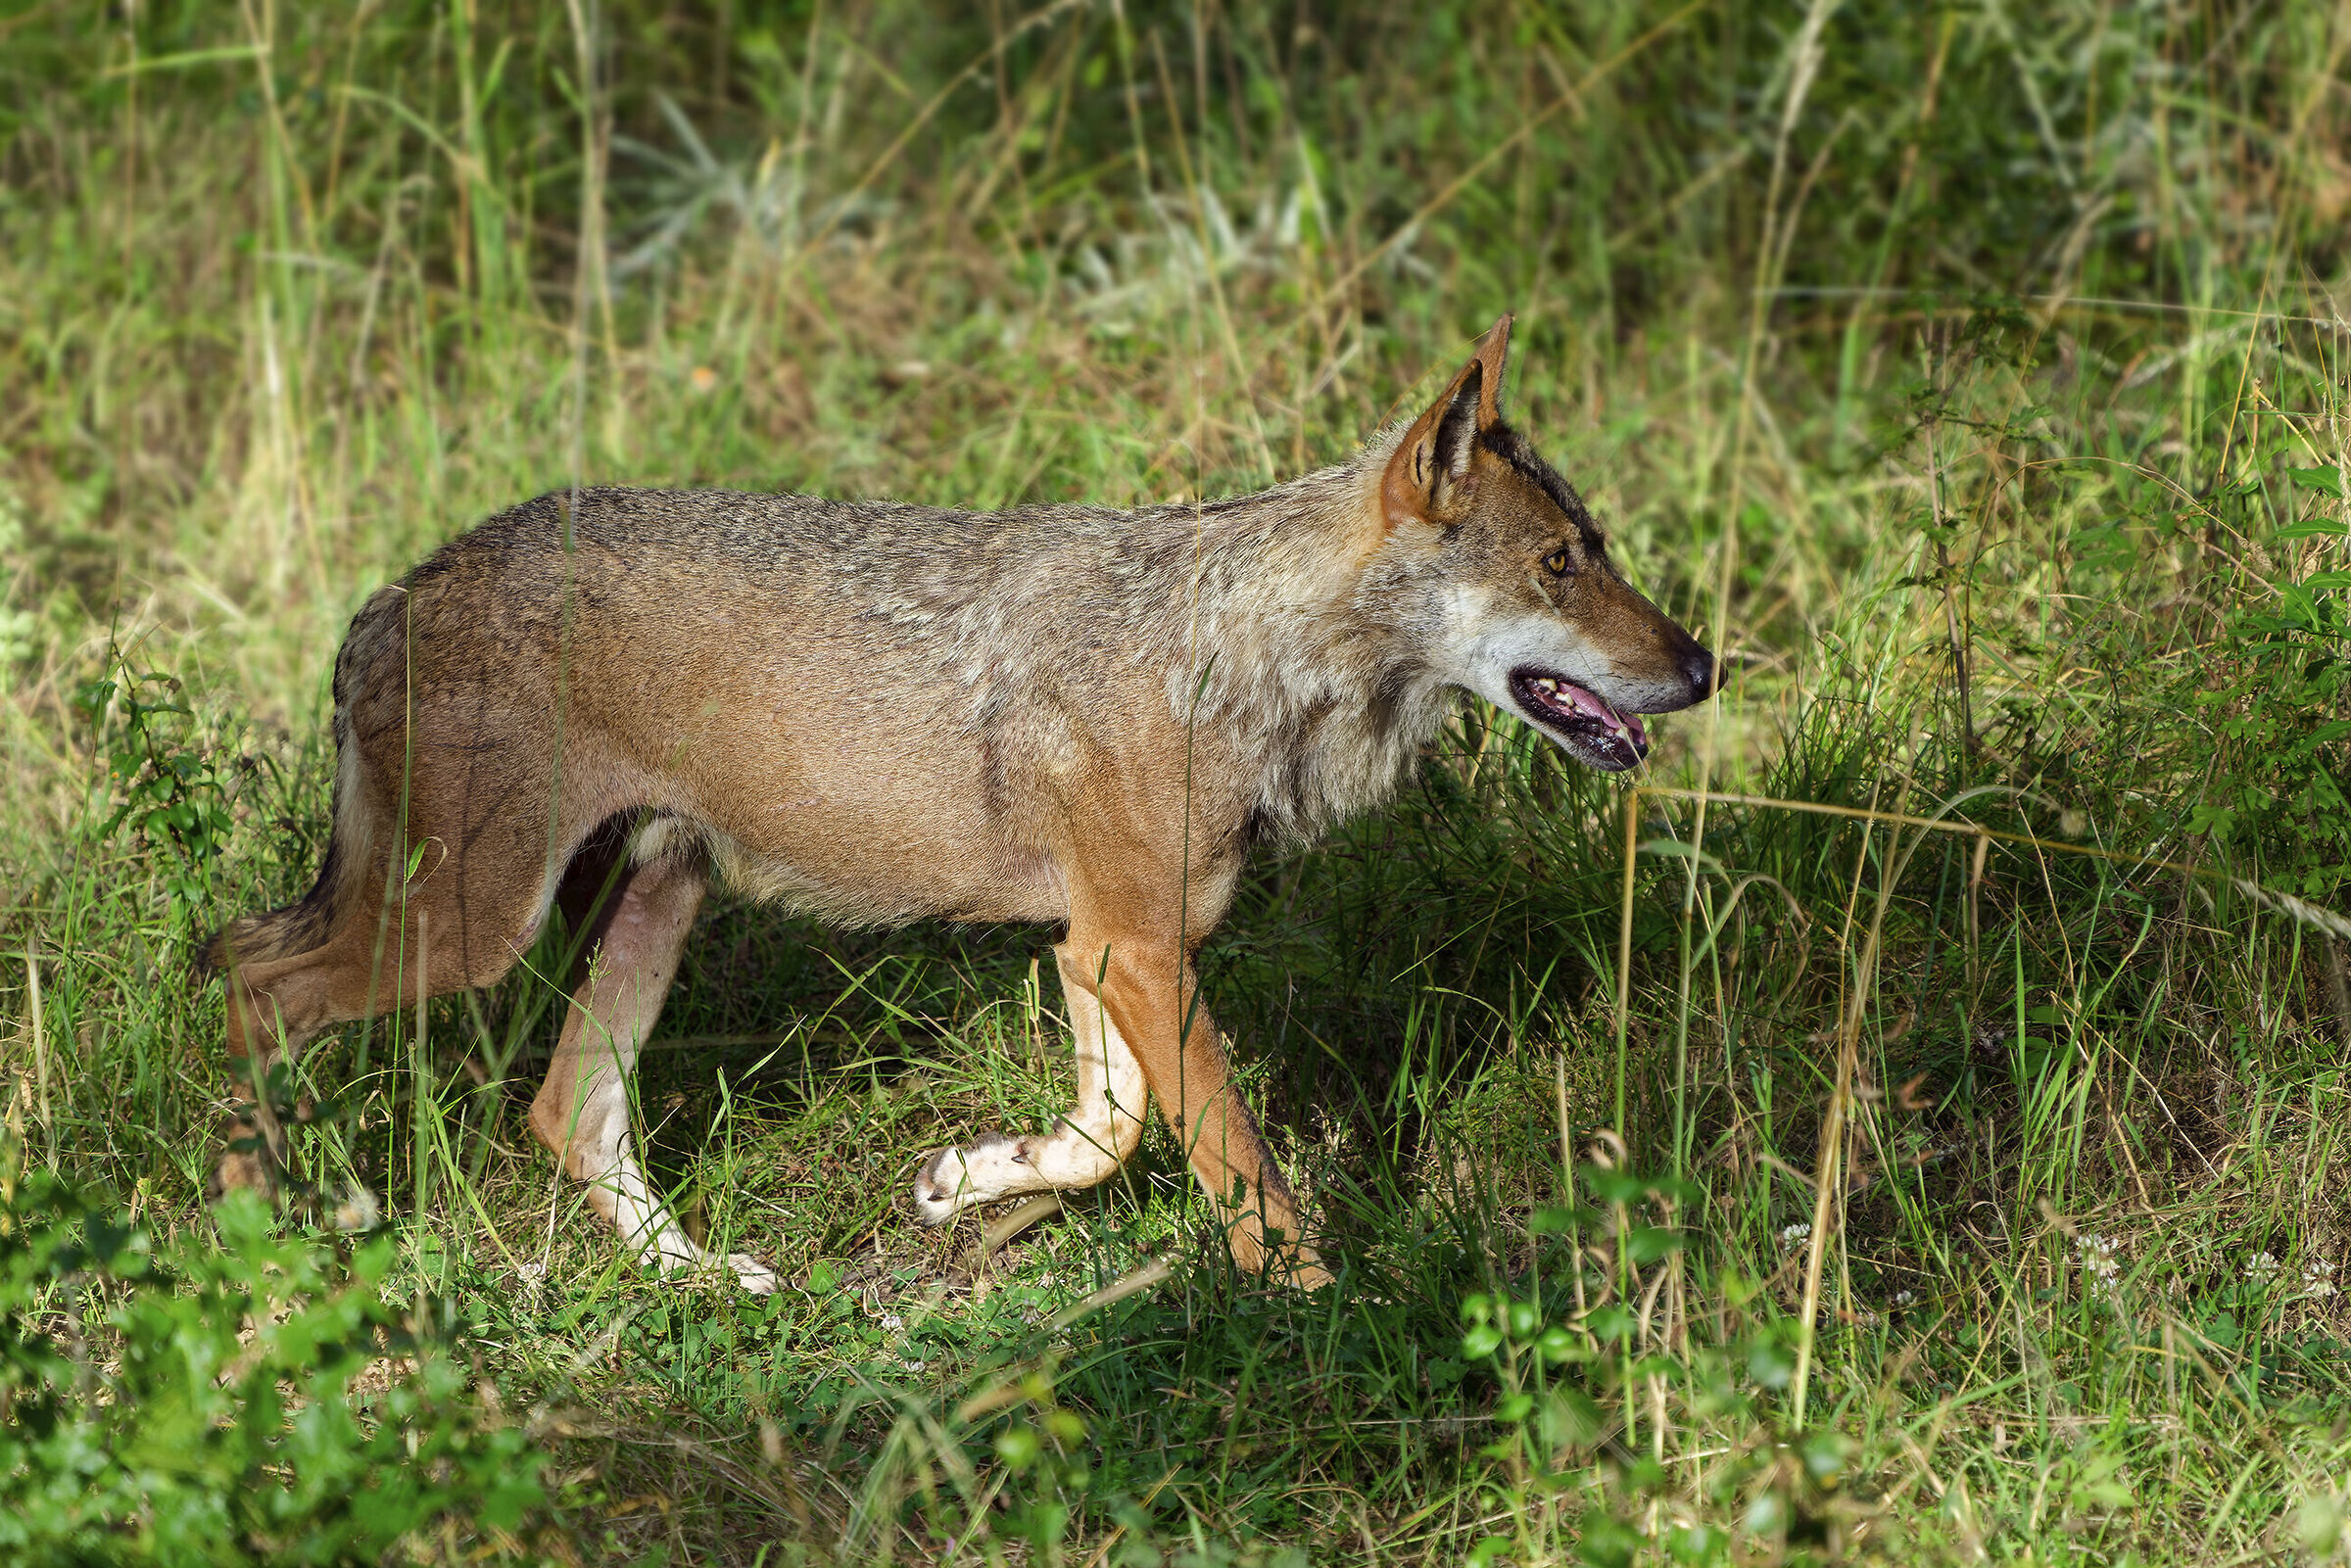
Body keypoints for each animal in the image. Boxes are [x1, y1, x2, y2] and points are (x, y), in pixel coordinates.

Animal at [202, 316, 1716, 1292]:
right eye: (1565, 563)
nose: (1704, 665)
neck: (1240, 655)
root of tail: (395, 590)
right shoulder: (1134, 949)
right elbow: (1242, 1169)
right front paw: (1321, 1314)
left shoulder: (1102, 947)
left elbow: (1107, 1136)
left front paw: (964, 1181)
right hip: (470, 930)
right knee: (246, 974)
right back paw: (259, 1252)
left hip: (653, 893)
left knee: (563, 1113)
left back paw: (703, 1276)